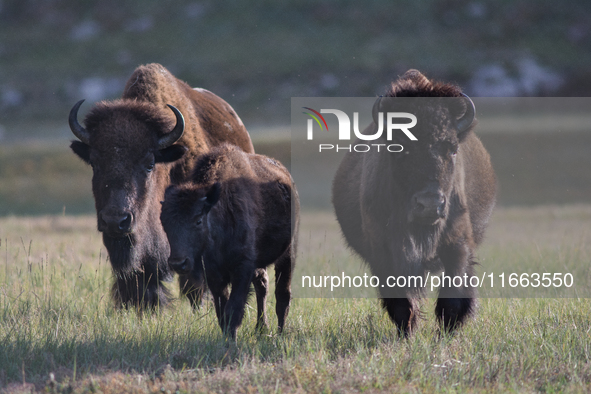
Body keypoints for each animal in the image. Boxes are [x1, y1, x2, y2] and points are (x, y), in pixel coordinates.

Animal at [160, 145, 298, 338]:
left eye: (198, 220)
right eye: (164, 222)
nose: (178, 263)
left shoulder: (242, 268)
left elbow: (234, 309)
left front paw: (232, 340)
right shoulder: (214, 275)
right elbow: (222, 312)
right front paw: (227, 338)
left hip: (288, 254)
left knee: (282, 295)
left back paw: (279, 333)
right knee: (262, 286)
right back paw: (261, 328)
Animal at [332, 71, 494, 336]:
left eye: (452, 149)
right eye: (400, 147)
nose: (429, 205)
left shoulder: (458, 242)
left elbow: (453, 292)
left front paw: (447, 331)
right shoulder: (384, 251)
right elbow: (401, 300)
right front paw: (408, 331)